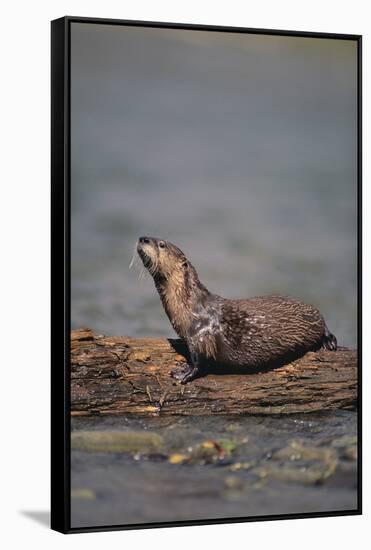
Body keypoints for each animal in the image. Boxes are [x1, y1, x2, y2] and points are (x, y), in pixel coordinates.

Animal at [136, 236, 338, 384]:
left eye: (161, 244)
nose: (143, 238)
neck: (190, 306)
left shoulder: (200, 336)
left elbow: (200, 363)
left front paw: (182, 374)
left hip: (313, 314)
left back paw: (329, 342)